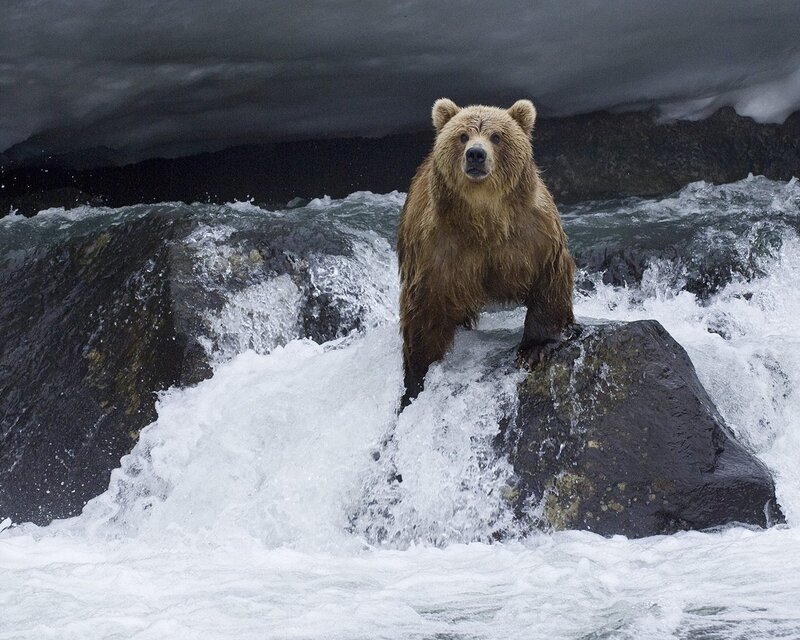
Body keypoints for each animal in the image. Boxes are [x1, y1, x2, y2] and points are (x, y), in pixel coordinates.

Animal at [397, 98, 575, 408]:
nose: (476, 155)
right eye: (462, 135)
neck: (484, 219)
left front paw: (534, 349)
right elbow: (424, 310)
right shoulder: (437, 248)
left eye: (496, 136)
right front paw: (416, 377)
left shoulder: (532, 233)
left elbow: (548, 280)